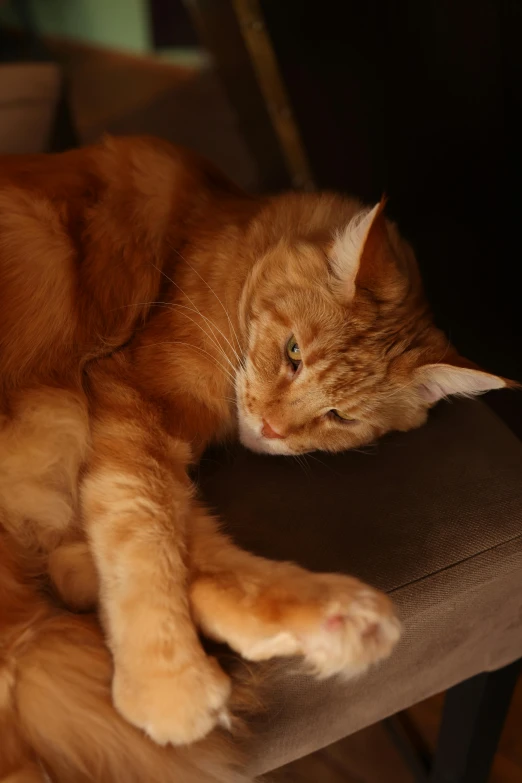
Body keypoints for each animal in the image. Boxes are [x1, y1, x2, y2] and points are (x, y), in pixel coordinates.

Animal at [0, 138, 506, 780]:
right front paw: (166, 685)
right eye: (293, 353)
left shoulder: (132, 441)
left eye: (340, 417)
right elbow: (143, 537)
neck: (225, 223)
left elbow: (173, 545)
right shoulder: (132, 402)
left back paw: (340, 620)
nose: (271, 427)